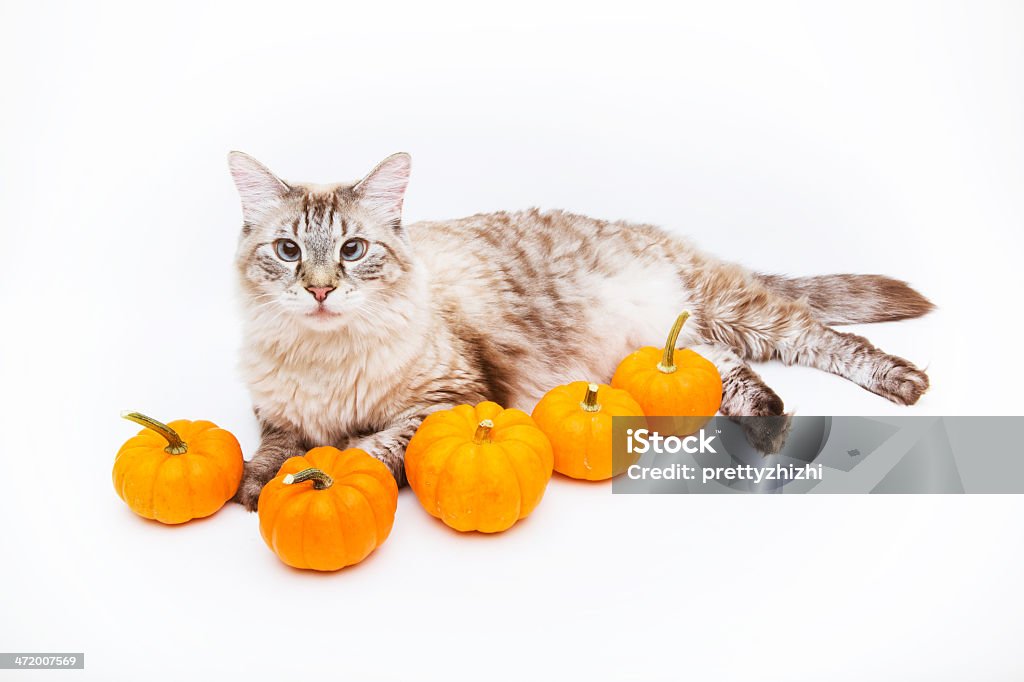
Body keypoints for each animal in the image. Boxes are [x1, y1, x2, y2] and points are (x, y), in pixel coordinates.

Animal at [228, 151, 933, 507]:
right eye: (289, 251)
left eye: (351, 250)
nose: (320, 289)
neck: (326, 359)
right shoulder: (279, 415)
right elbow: (272, 450)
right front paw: (257, 485)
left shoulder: (447, 399)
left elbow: (367, 454)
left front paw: (314, 478)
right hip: (678, 341)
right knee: (732, 371)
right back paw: (766, 425)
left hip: (732, 308)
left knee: (825, 340)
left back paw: (898, 385)